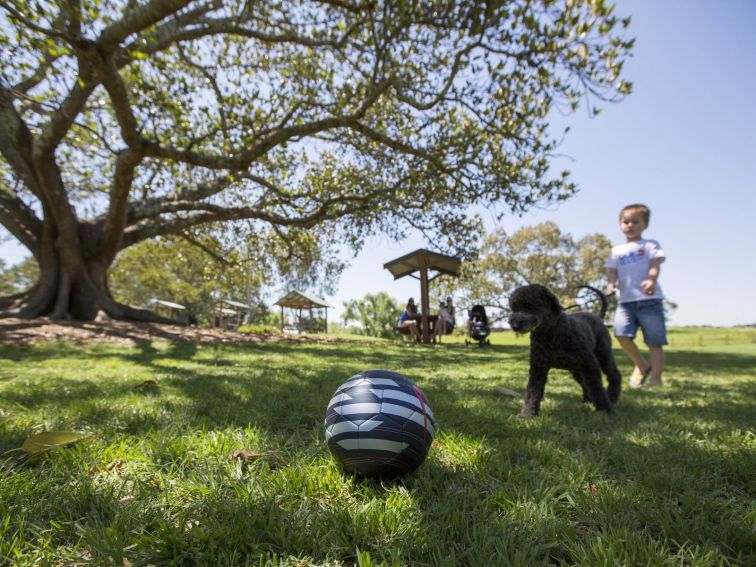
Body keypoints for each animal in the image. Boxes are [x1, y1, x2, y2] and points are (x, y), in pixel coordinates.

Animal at [508, 284, 620, 418]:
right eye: (514, 308)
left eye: (529, 305)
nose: (514, 325)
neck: (551, 333)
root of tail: (598, 317)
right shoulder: (538, 368)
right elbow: (532, 392)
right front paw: (527, 415)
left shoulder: (590, 365)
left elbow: (597, 388)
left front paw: (605, 409)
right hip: (576, 370)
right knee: (585, 384)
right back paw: (588, 400)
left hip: (603, 355)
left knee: (614, 374)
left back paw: (612, 397)